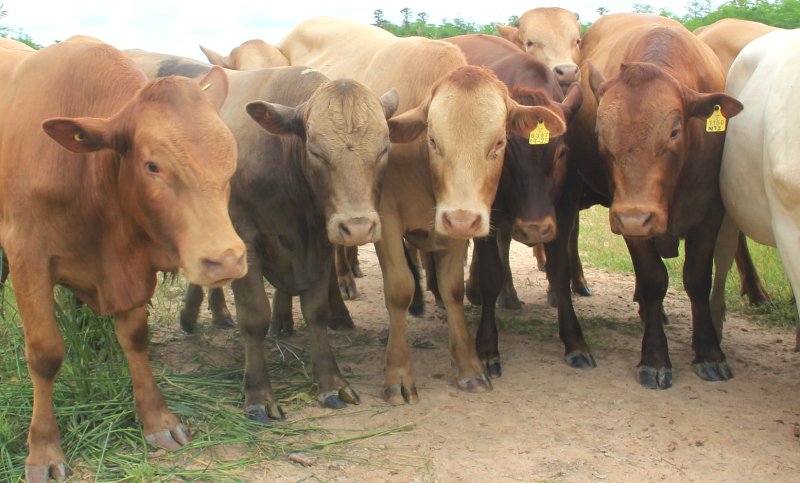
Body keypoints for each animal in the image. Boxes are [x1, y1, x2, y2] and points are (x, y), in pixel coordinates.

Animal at [0, 37, 246, 482]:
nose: (228, 260)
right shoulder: (28, 258)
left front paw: (157, 419)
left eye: (230, 161)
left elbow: (134, 338)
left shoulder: (131, 269)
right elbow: (44, 355)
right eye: (152, 166)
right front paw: (43, 449)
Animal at [125, 48, 401, 415]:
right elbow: (255, 316)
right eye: (315, 150)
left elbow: (316, 312)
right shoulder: (246, 242)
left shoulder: (320, 243)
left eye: (384, 147)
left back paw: (196, 316)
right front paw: (258, 394)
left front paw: (330, 382)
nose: (357, 226)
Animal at [278, 17, 566, 403]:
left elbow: (453, 289)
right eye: (433, 140)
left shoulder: (455, 223)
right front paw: (398, 373)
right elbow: (398, 289)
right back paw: (339, 305)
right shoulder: (384, 218)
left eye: (499, 143)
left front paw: (469, 367)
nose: (462, 218)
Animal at [444, 33, 584, 376]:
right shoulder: (487, 215)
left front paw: (574, 341)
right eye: (504, 154)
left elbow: (559, 272)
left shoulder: (562, 212)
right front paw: (487, 347)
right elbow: (490, 273)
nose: (534, 228)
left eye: (562, 152)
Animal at [553, 13, 742, 389]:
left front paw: (709, 353)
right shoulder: (630, 220)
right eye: (600, 134)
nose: (634, 218)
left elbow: (697, 279)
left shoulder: (710, 215)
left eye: (674, 132)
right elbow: (655, 280)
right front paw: (655, 358)